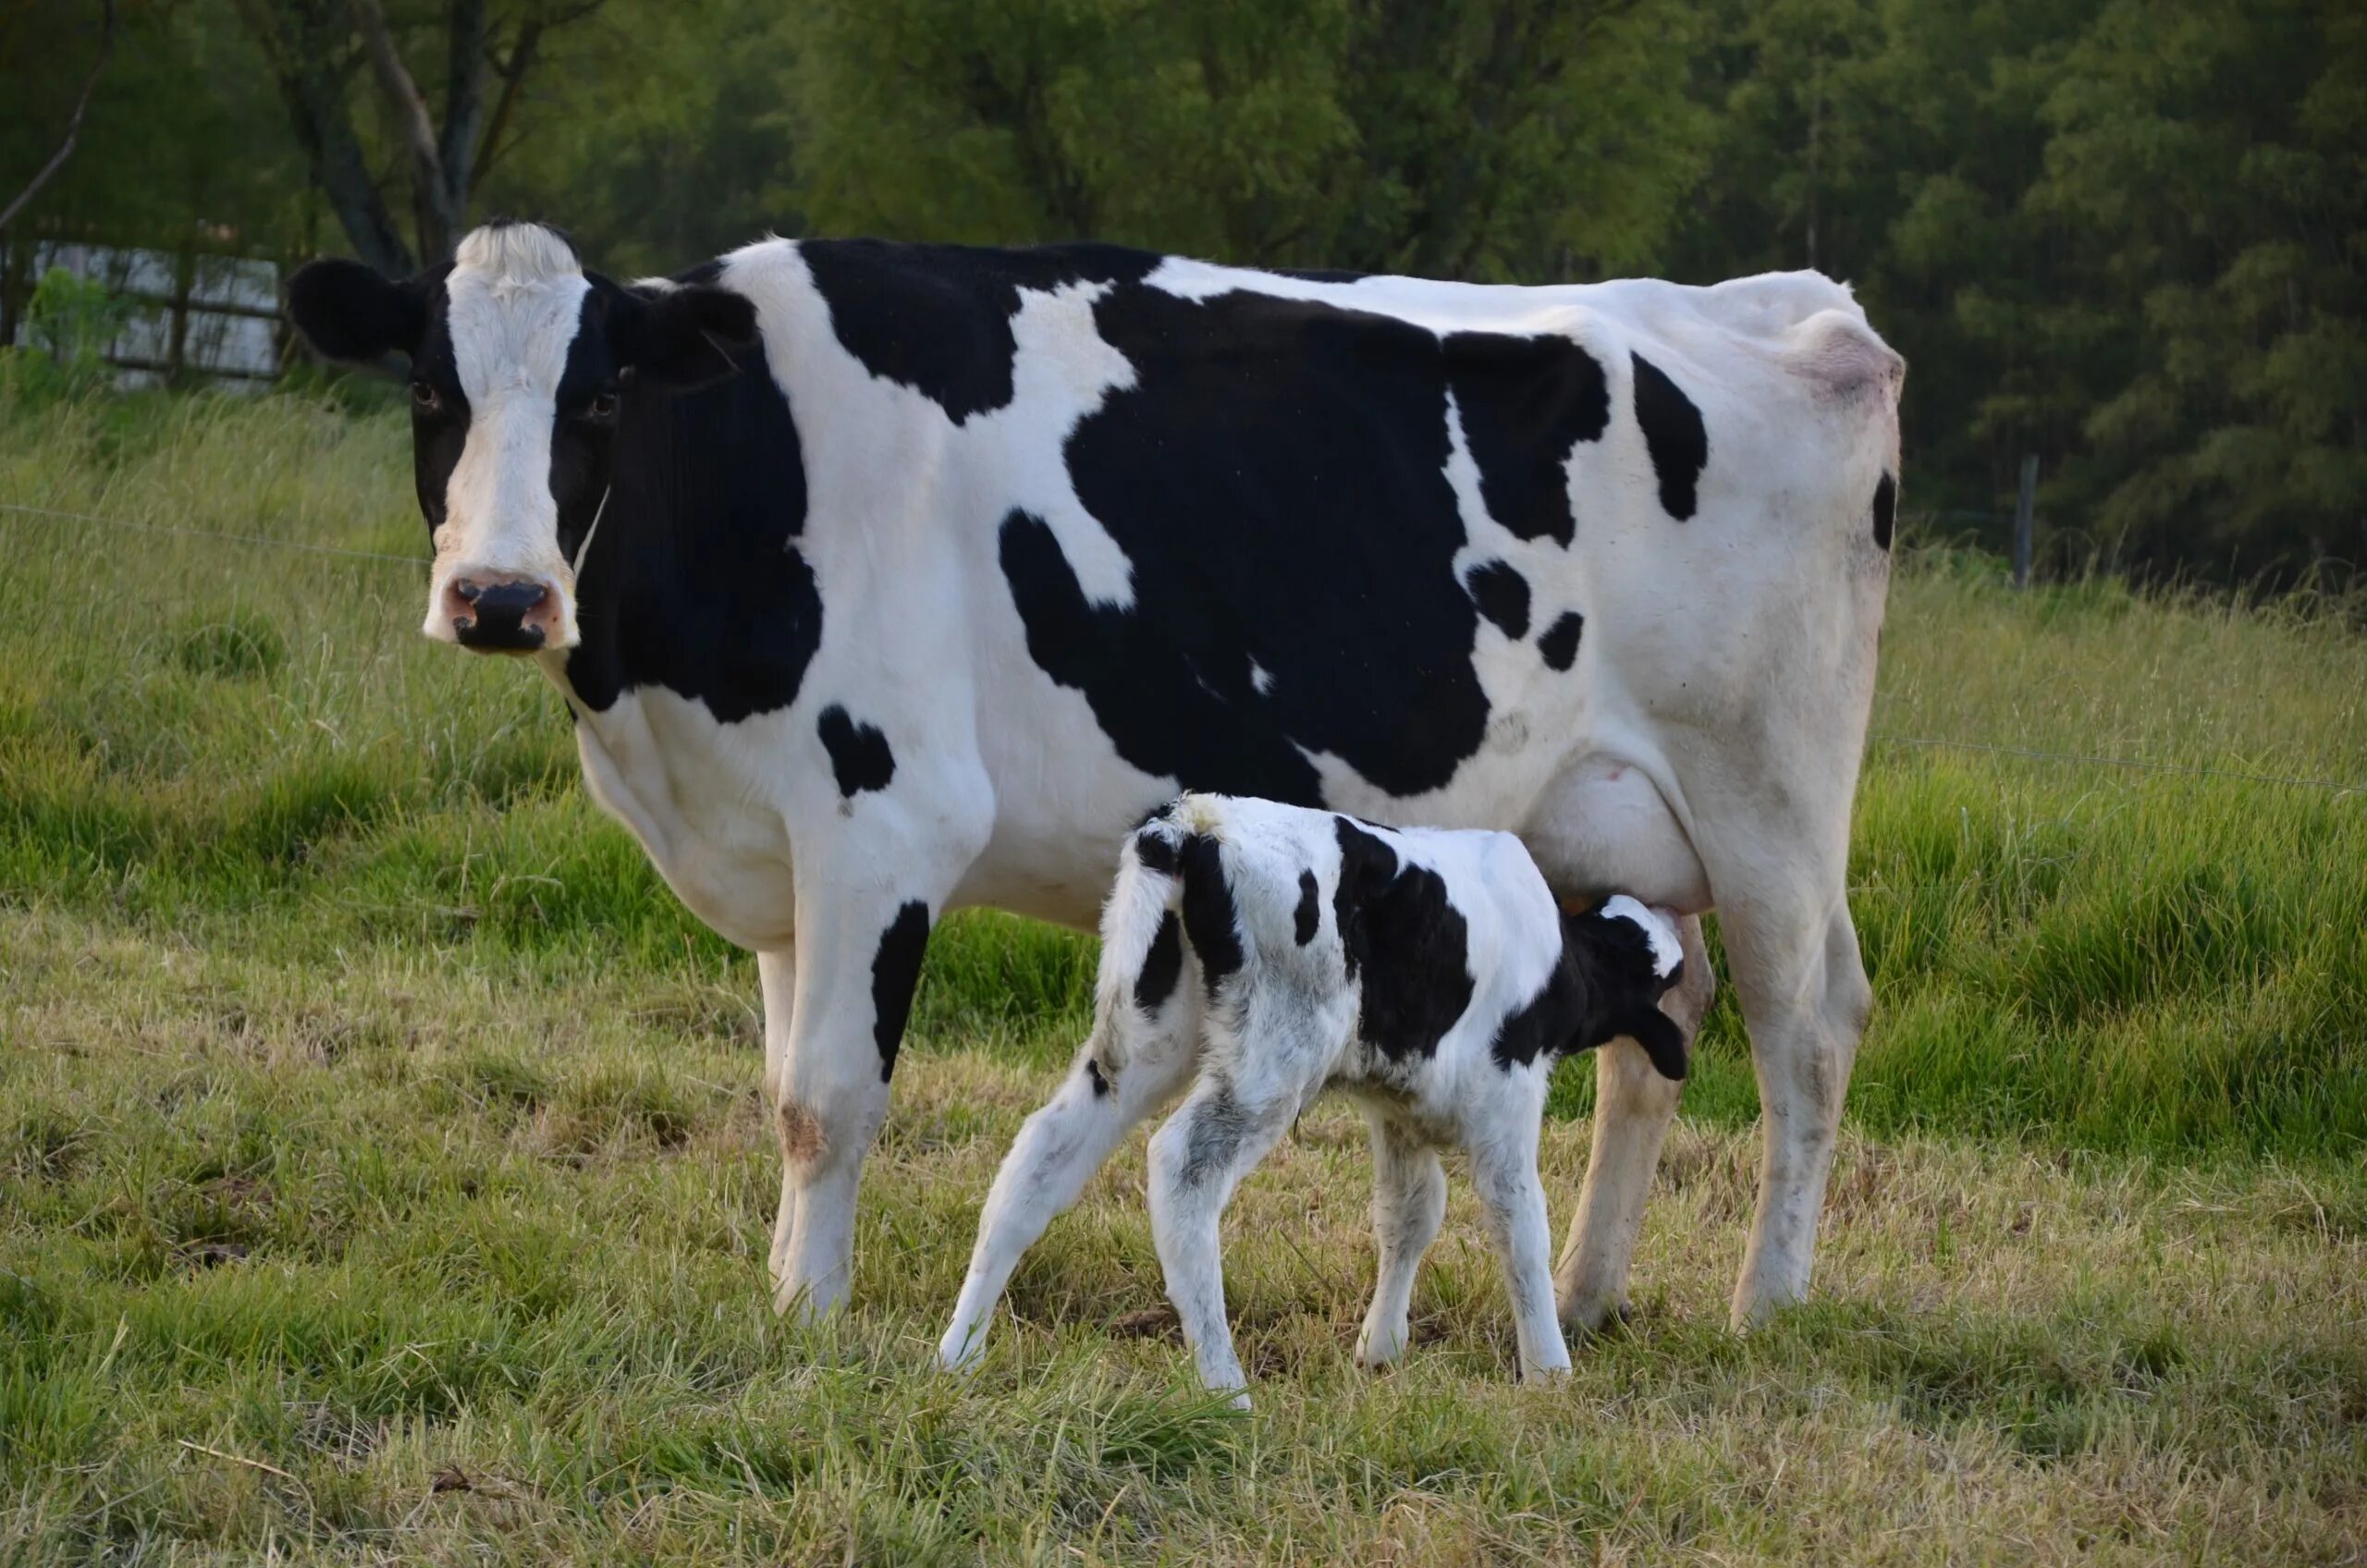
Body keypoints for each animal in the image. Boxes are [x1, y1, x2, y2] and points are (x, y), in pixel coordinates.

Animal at [281, 221, 1903, 1335]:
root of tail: (1779, 305)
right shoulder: (779, 843)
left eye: (600, 402)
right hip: (1612, 824)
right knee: (1656, 1023)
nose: (500, 596)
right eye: (429, 392)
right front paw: (785, 1281)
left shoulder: (886, 817)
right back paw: (1588, 1288)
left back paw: (1765, 1307)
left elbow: (829, 1097)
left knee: (1808, 1029)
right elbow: (780, 1082)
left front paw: (809, 1315)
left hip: (1769, 807)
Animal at [932, 800, 1694, 1402]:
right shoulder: (1508, 1095)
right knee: (1181, 1167)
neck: (1562, 958)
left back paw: (959, 1354)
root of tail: (1190, 825)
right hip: (1272, 1058)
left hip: (1142, 1041)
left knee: (1042, 1156)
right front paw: (1549, 1372)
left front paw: (1381, 1350)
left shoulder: (1398, 1107)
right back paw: (1225, 1388)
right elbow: (1521, 1227)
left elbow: (1411, 1215)